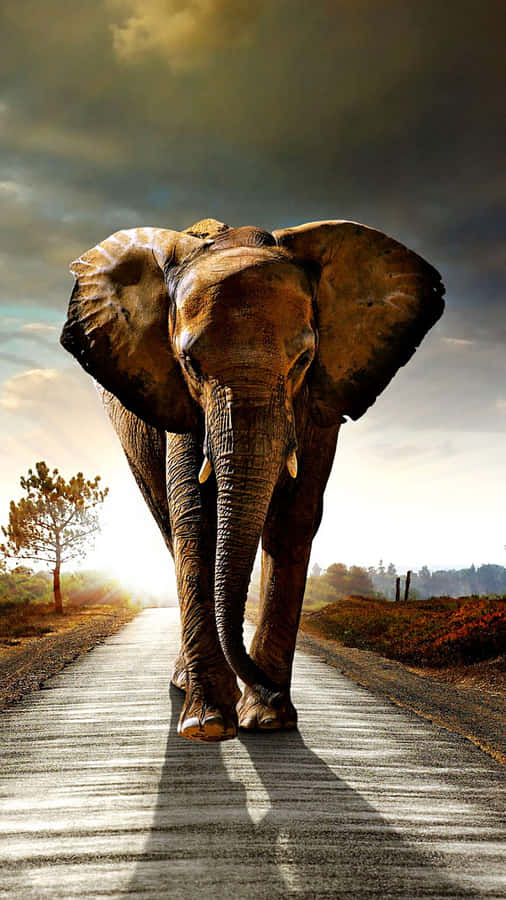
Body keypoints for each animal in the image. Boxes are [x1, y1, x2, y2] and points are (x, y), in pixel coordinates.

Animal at [60, 217, 444, 743]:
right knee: (168, 525)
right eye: (190, 363)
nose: (270, 690)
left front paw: (268, 720)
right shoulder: (180, 399)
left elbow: (295, 517)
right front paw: (208, 725)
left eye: (303, 360)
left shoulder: (321, 397)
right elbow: (195, 518)